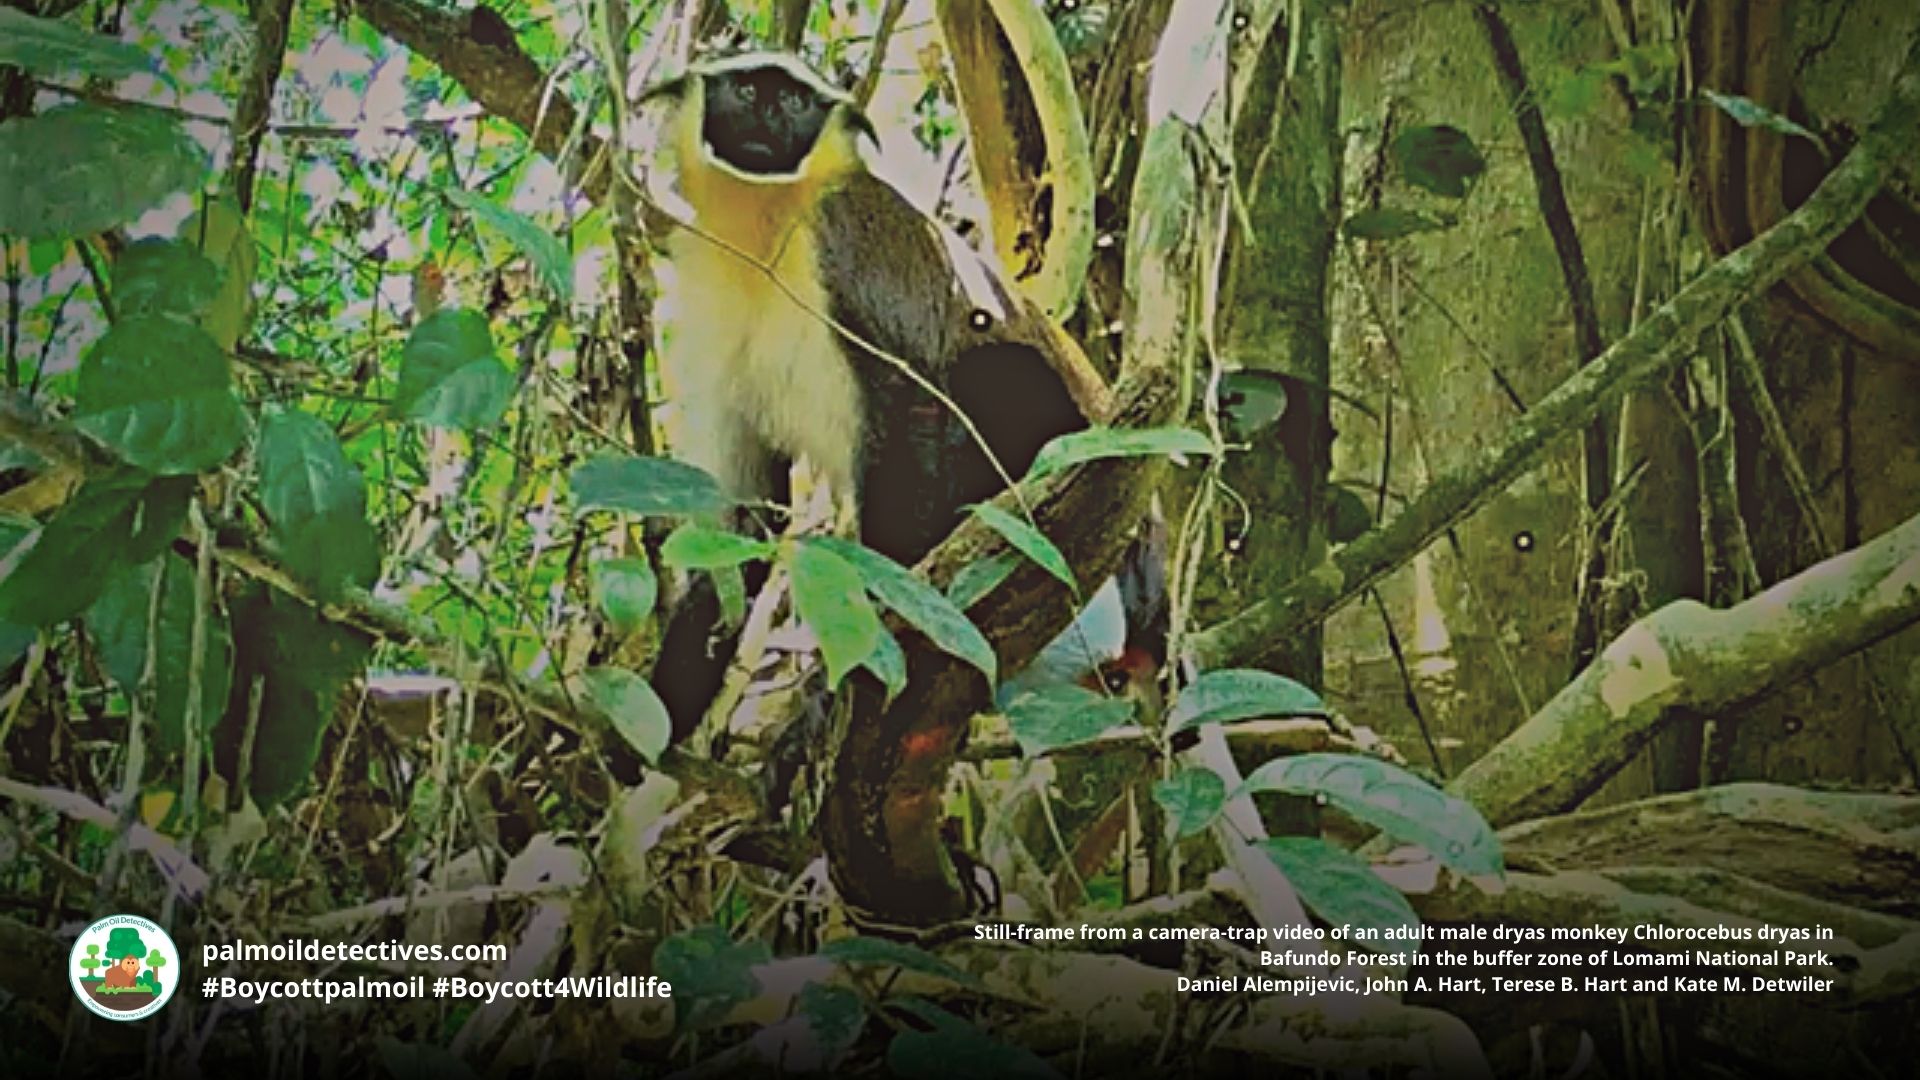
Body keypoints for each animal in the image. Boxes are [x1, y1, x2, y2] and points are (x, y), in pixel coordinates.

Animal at [638, 52, 1158, 743]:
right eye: (746, 90)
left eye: (795, 101)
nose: (768, 115)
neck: (767, 222)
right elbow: (739, 526)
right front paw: (649, 721)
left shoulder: (844, 244)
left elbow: (912, 405)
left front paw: (840, 683)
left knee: (996, 368)